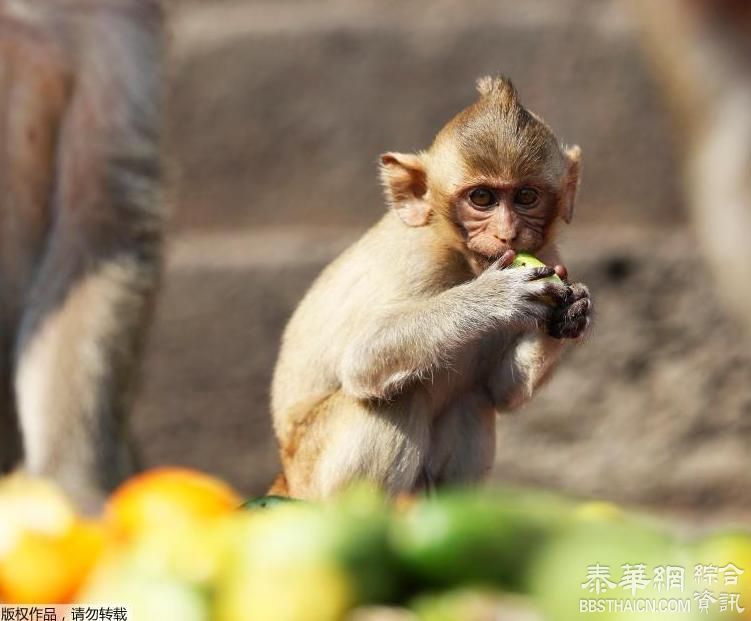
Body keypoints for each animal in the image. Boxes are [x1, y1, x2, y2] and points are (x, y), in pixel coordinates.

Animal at [270, 75, 592, 496]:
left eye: (526, 196)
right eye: (482, 197)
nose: (507, 234)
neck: (464, 262)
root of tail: (286, 476)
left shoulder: (548, 252)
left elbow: (502, 390)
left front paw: (570, 311)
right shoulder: (418, 257)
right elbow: (362, 355)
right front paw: (494, 297)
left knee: (472, 399)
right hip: (312, 468)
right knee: (399, 396)